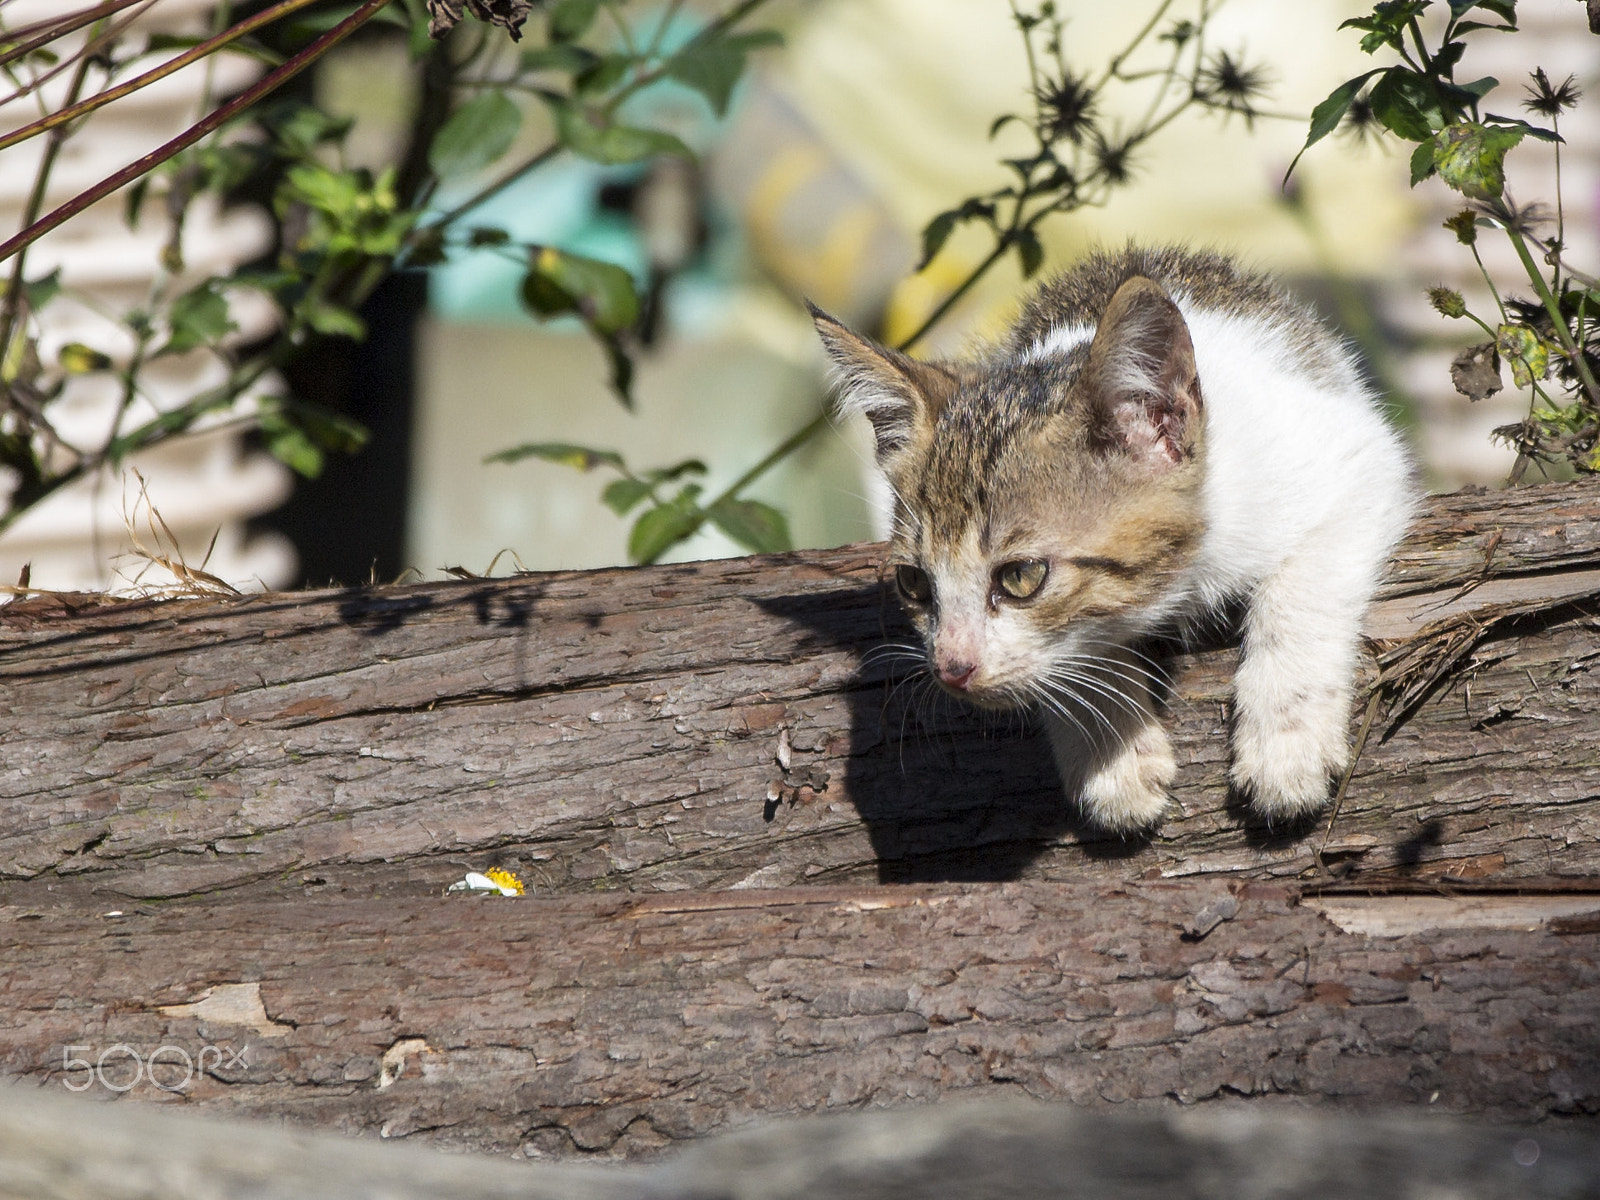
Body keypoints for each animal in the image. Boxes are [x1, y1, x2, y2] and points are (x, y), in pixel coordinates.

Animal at [812, 246, 1414, 838]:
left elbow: (1301, 591)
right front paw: (1114, 758)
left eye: (1021, 576)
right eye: (913, 582)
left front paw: (1286, 743)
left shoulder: (1357, 458)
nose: (951, 669)